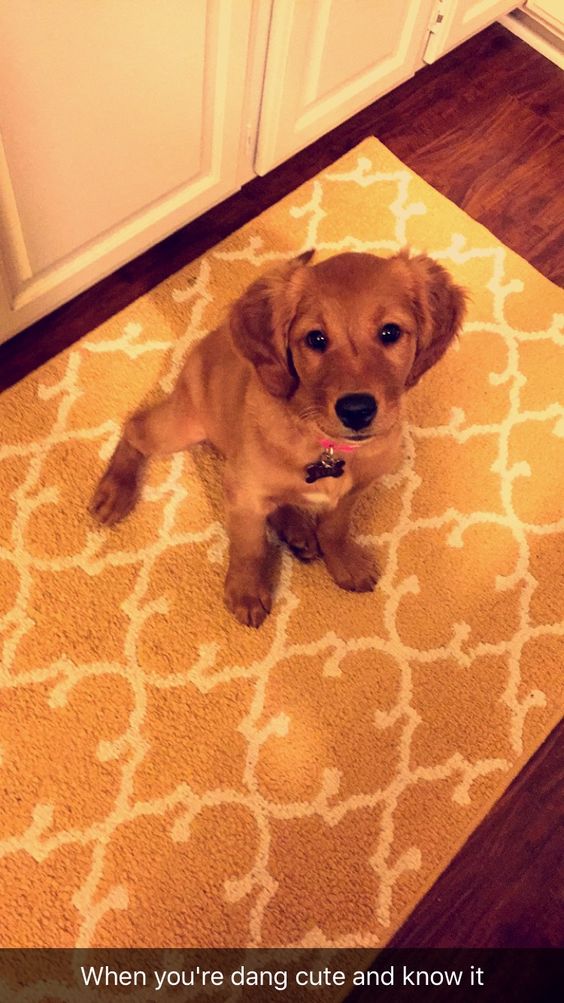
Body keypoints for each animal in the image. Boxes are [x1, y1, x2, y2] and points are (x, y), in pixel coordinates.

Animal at [88, 250, 465, 625]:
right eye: (316, 339)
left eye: (390, 332)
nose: (356, 410)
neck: (326, 446)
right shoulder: (244, 494)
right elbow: (249, 546)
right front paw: (245, 591)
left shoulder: (354, 489)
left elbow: (335, 526)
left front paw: (344, 562)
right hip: (185, 425)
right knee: (135, 426)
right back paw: (114, 493)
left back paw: (297, 531)